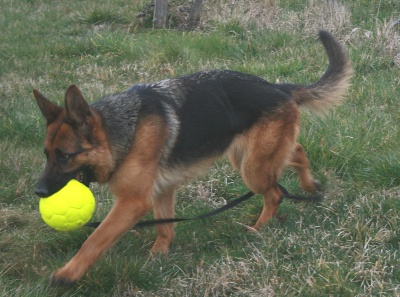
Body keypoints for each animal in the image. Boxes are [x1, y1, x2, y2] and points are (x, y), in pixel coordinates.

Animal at [32, 30, 352, 284]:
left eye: (64, 156)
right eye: (46, 154)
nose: (39, 191)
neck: (122, 130)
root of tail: (277, 87)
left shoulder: (133, 202)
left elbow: (94, 239)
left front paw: (68, 274)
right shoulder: (160, 191)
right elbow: (164, 226)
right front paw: (160, 253)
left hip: (253, 169)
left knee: (274, 193)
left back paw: (258, 229)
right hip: (247, 157)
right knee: (296, 153)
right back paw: (309, 186)